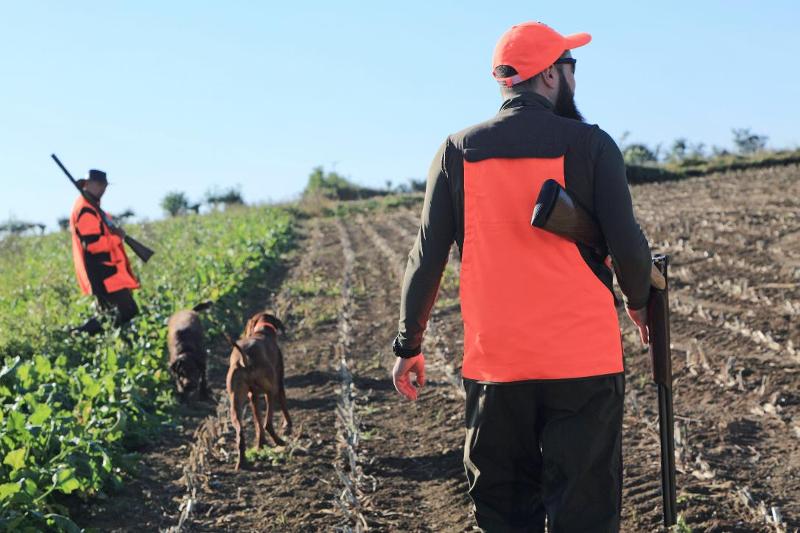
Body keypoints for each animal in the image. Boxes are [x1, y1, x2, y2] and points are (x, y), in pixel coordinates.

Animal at [227, 310, 292, 468]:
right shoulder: (279, 384)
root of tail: (244, 359)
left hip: (235, 404)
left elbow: (257, 423)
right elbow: (283, 405)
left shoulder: (253, 396)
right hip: (270, 391)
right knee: (267, 423)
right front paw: (288, 425)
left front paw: (260, 445)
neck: (262, 332)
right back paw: (280, 441)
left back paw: (242, 462)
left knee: (240, 433)